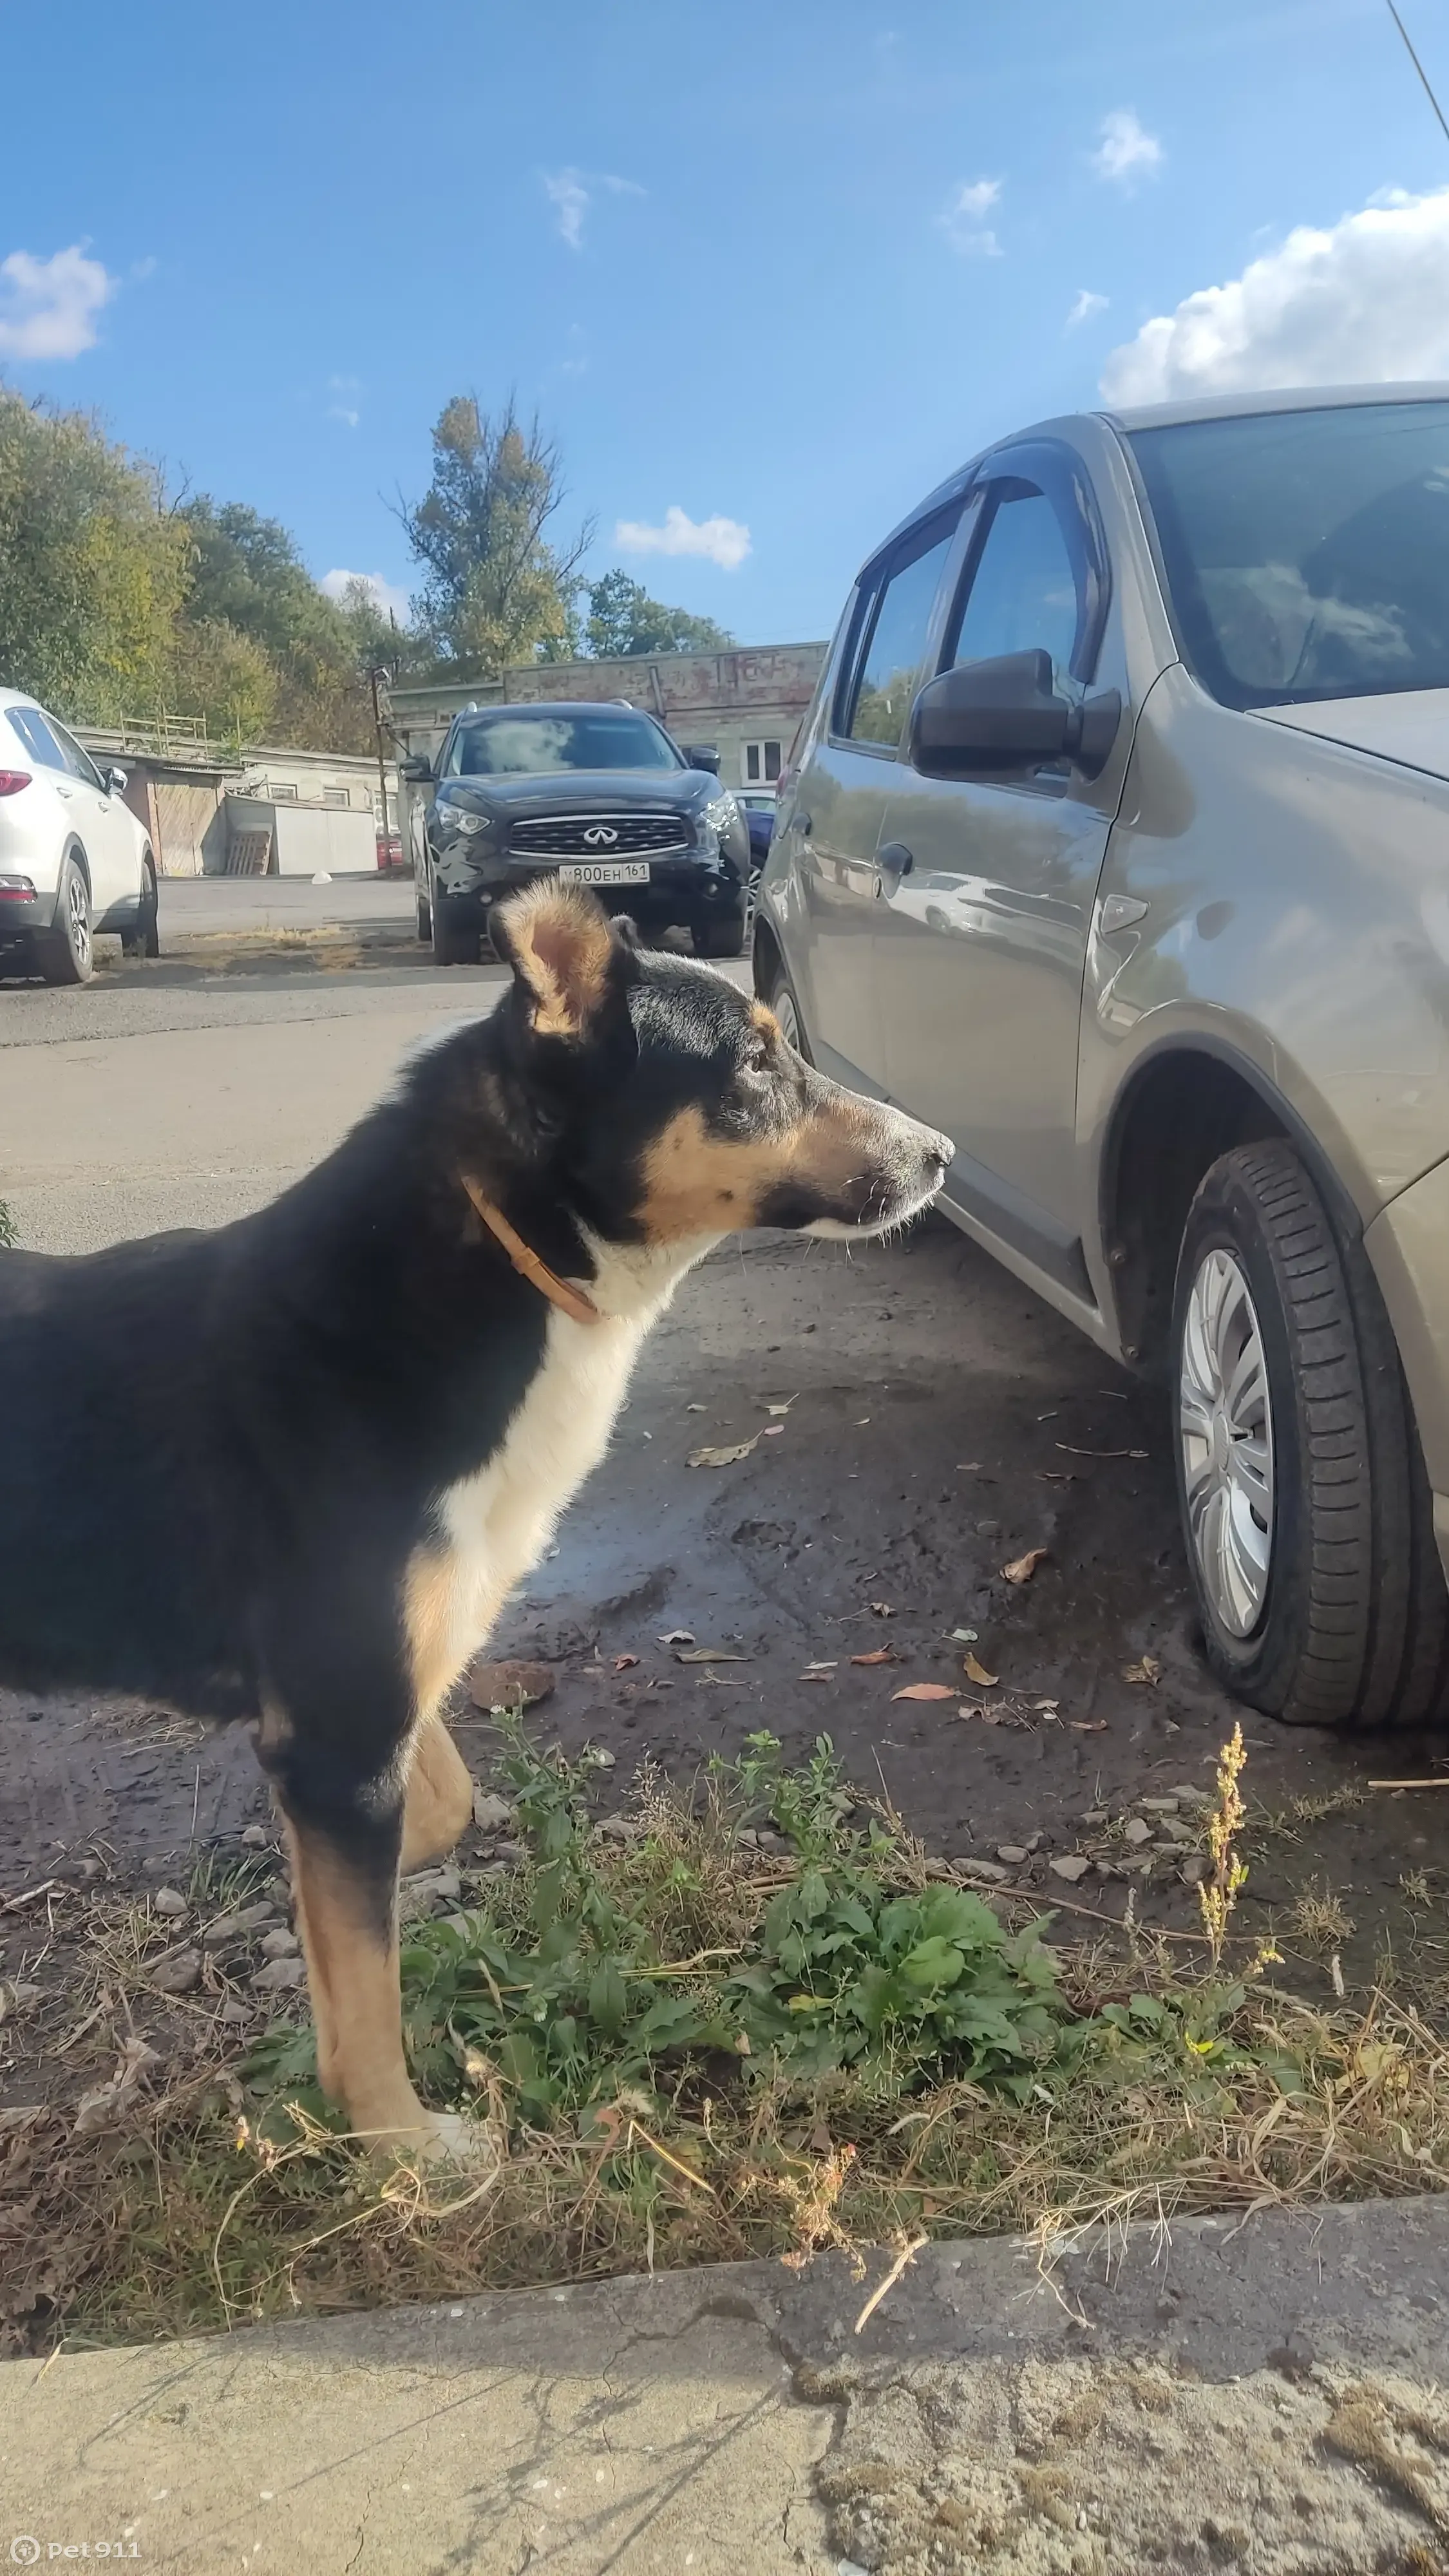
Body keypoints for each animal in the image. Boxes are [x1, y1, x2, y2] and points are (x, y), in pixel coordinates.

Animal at [0, 886, 949, 2154]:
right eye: (755, 1060)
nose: (941, 1155)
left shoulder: (371, 1708)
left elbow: (430, 1820)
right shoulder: (341, 1732)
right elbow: (366, 1990)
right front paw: (404, 2147)